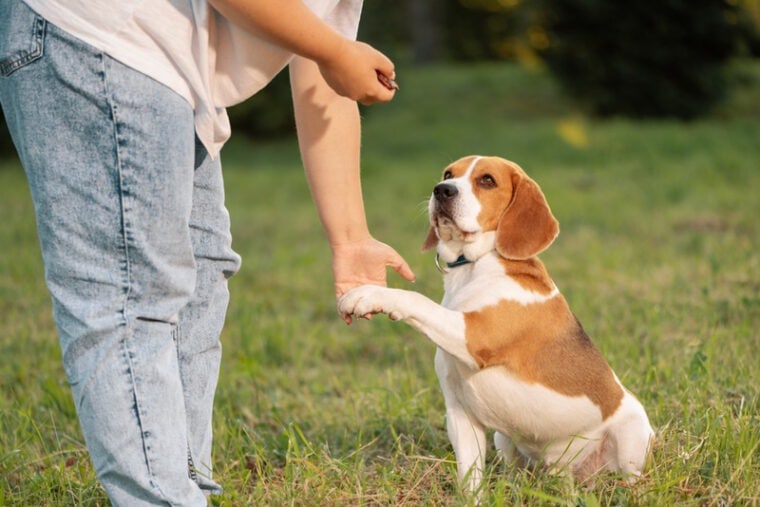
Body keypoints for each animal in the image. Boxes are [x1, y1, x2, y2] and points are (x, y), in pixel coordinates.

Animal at [338, 157, 652, 494]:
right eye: (448, 174)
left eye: (487, 180)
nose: (441, 190)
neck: (473, 266)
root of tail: (567, 469)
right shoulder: (461, 416)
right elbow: (470, 481)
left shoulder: (473, 335)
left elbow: (417, 300)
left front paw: (368, 295)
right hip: (504, 439)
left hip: (632, 435)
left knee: (631, 476)